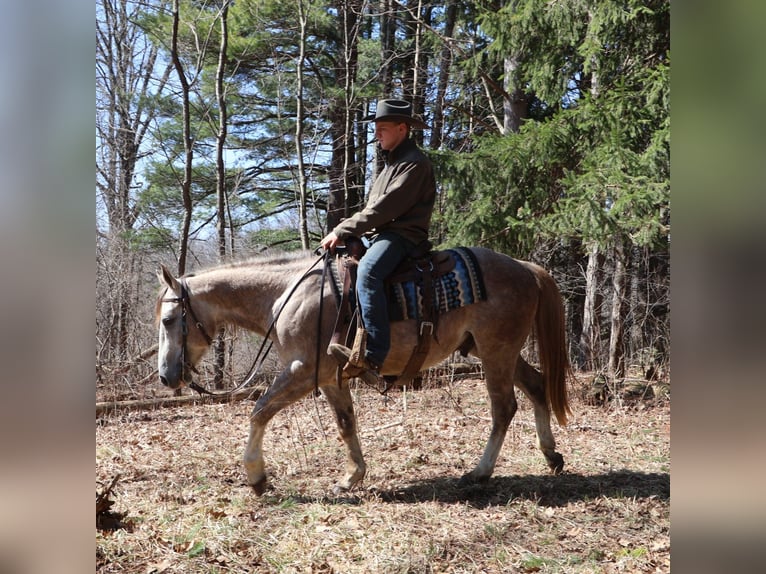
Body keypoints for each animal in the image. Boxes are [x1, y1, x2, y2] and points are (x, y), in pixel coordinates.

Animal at [155, 247, 572, 495]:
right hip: (497, 351)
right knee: (536, 386)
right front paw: (352, 476)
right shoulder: (328, 378)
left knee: (504, 408)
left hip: (496, 352)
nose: (166, 377)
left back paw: (480, 472)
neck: (287, 295)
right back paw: (551, 456)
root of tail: (526, 268)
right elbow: (346, 423)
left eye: (170, 319)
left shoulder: (302, 371)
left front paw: (256, 476)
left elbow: (259, 412)